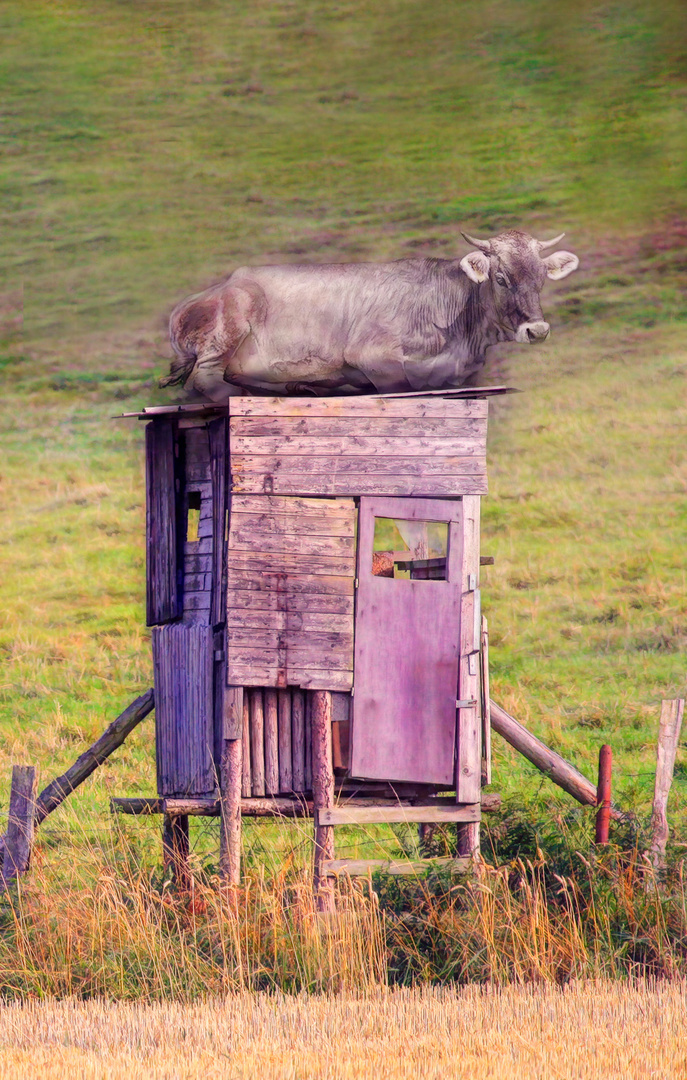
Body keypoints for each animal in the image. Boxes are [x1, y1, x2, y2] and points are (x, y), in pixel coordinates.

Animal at [162, 228, 578, 401]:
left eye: (541, 278)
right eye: (501, 278)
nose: (537, 330)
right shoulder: (374, 357)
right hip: (227, 325)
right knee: (206, 381)